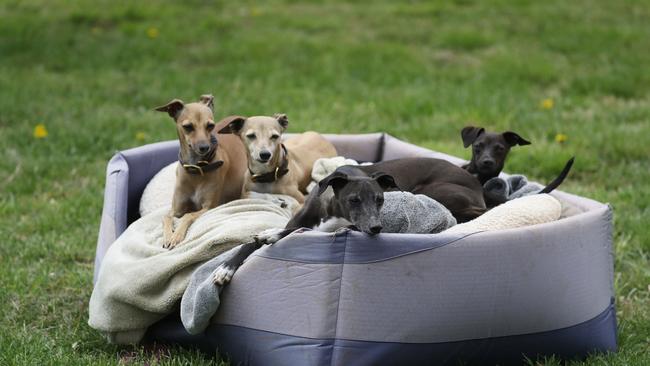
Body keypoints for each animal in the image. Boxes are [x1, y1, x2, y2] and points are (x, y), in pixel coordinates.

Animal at [211, 166, 394, 286]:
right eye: (354, 200)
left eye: (380, 200)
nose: (376, 228)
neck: (333, 215)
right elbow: (249, 244)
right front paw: (226, 268)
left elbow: (290, 231)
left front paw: (272, 233)